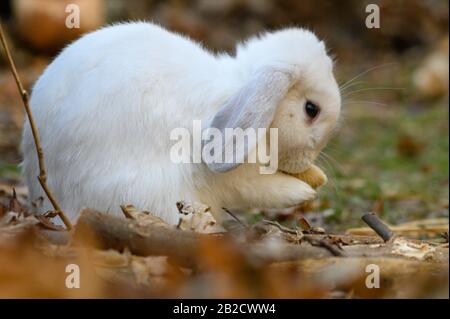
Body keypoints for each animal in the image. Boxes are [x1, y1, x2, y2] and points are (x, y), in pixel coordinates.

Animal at [19, 21, 340, 225]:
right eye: (311, 109)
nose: (311, 162)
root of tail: (47, 203)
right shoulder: (235, 178)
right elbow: (264, 188)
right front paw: (304, 192)